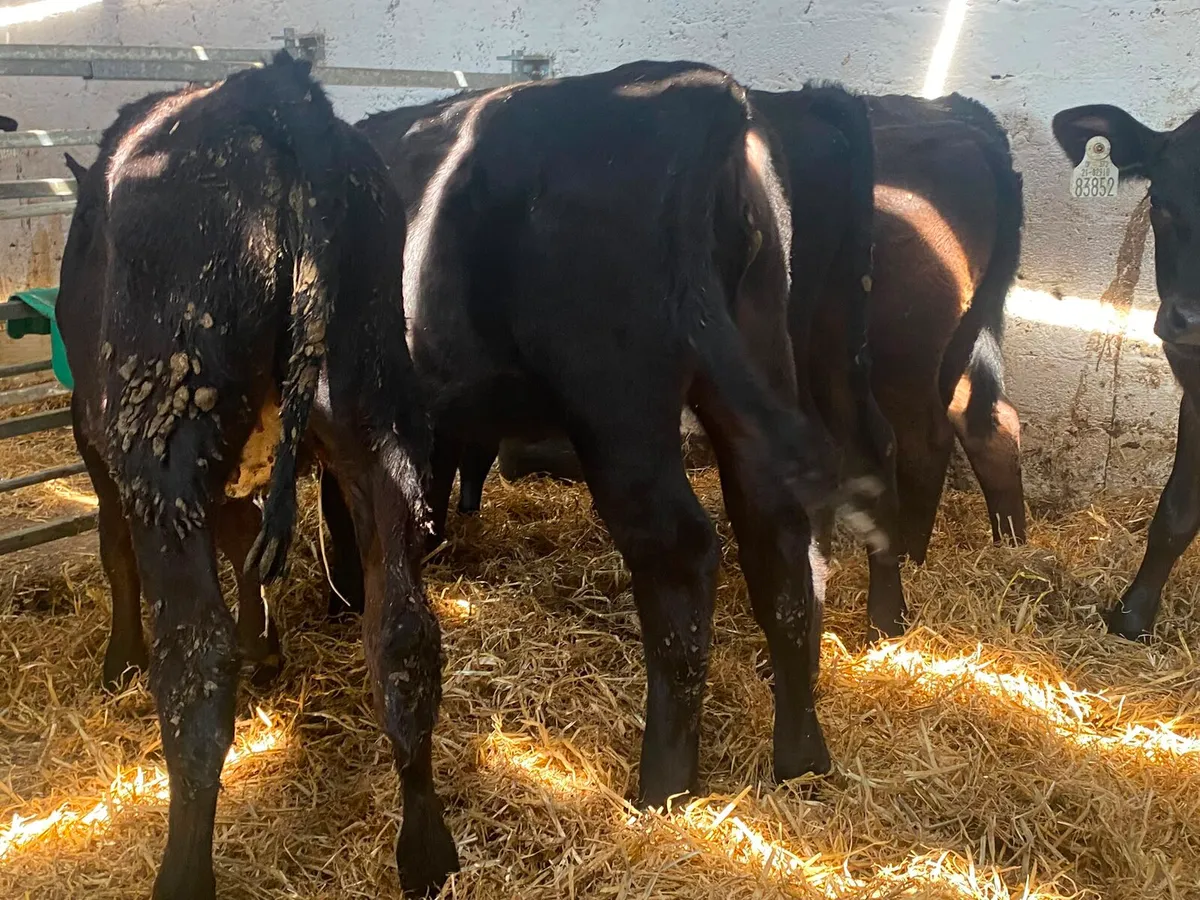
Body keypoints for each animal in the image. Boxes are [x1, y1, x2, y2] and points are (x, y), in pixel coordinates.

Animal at [57, 53, 457, 899]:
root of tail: (276, 96)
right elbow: (249, 553)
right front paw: (266, 650)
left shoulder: (93, 445)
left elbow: (115, 555)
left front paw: (118, 659)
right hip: (378, 418)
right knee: (404, 631)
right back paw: (426, 851)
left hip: (164, 446)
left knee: (194, 667)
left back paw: (182, 872)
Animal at [346, 60, 884, 816]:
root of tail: (702, 91)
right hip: (754, 354)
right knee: (779, 538)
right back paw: (801, 757)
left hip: (619, 404)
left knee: (681, 552)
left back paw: (664, 783)